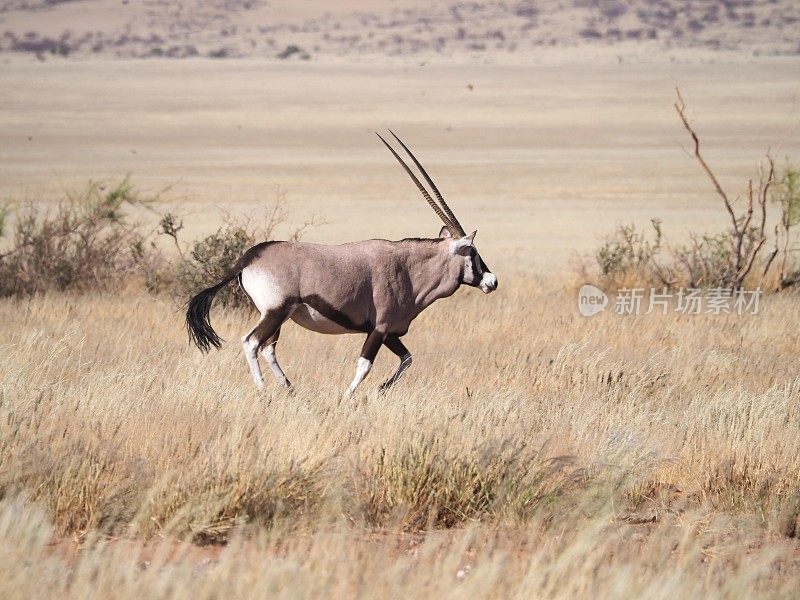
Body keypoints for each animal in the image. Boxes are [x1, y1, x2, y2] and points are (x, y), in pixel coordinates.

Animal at [189, 131, 500, 394]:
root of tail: (248, 259)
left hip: (278, 316)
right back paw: (263, 389)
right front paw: (348, 397)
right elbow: (364, 365)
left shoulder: (389, 333)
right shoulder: (380, 329)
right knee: (252, 342)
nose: (492, 281)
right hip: (275, 311)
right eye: (472, 251)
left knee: (268, 349)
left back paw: (289, 389)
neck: (410, 270)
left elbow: (408, 358)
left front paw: (383, 388)